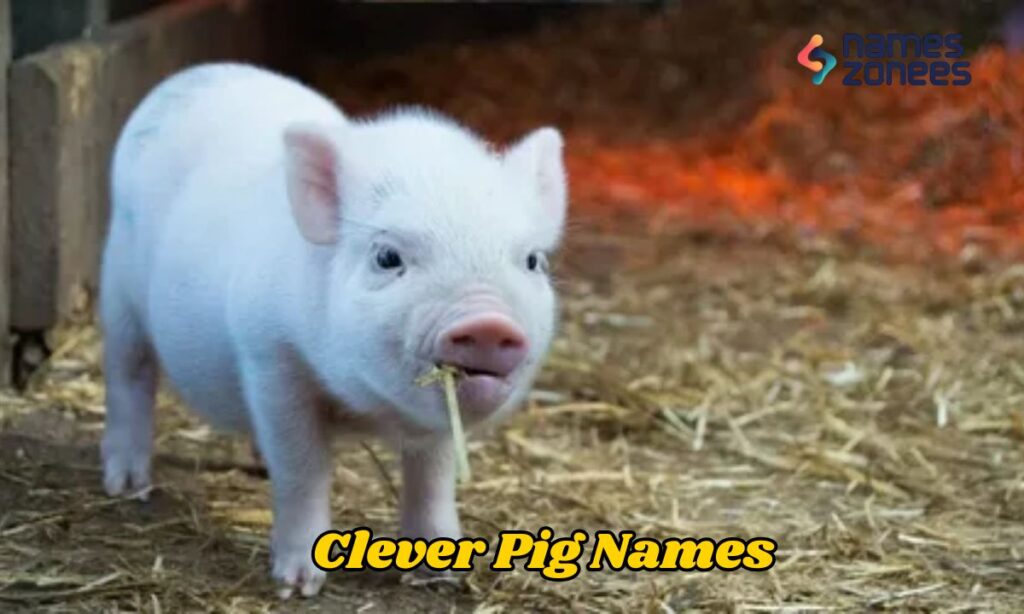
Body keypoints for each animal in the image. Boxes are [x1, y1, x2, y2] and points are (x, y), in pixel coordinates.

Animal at [100, 63, 567, 597]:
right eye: (387, 257)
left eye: (532, 261)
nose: (488, 322)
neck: (366, 407)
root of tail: (196, 74)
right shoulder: (270, 357)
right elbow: (303, 469)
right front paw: (297, 586)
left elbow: (432, 476)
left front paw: (441, 572)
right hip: (118, 289)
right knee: (129, 374)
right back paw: (127, 485)